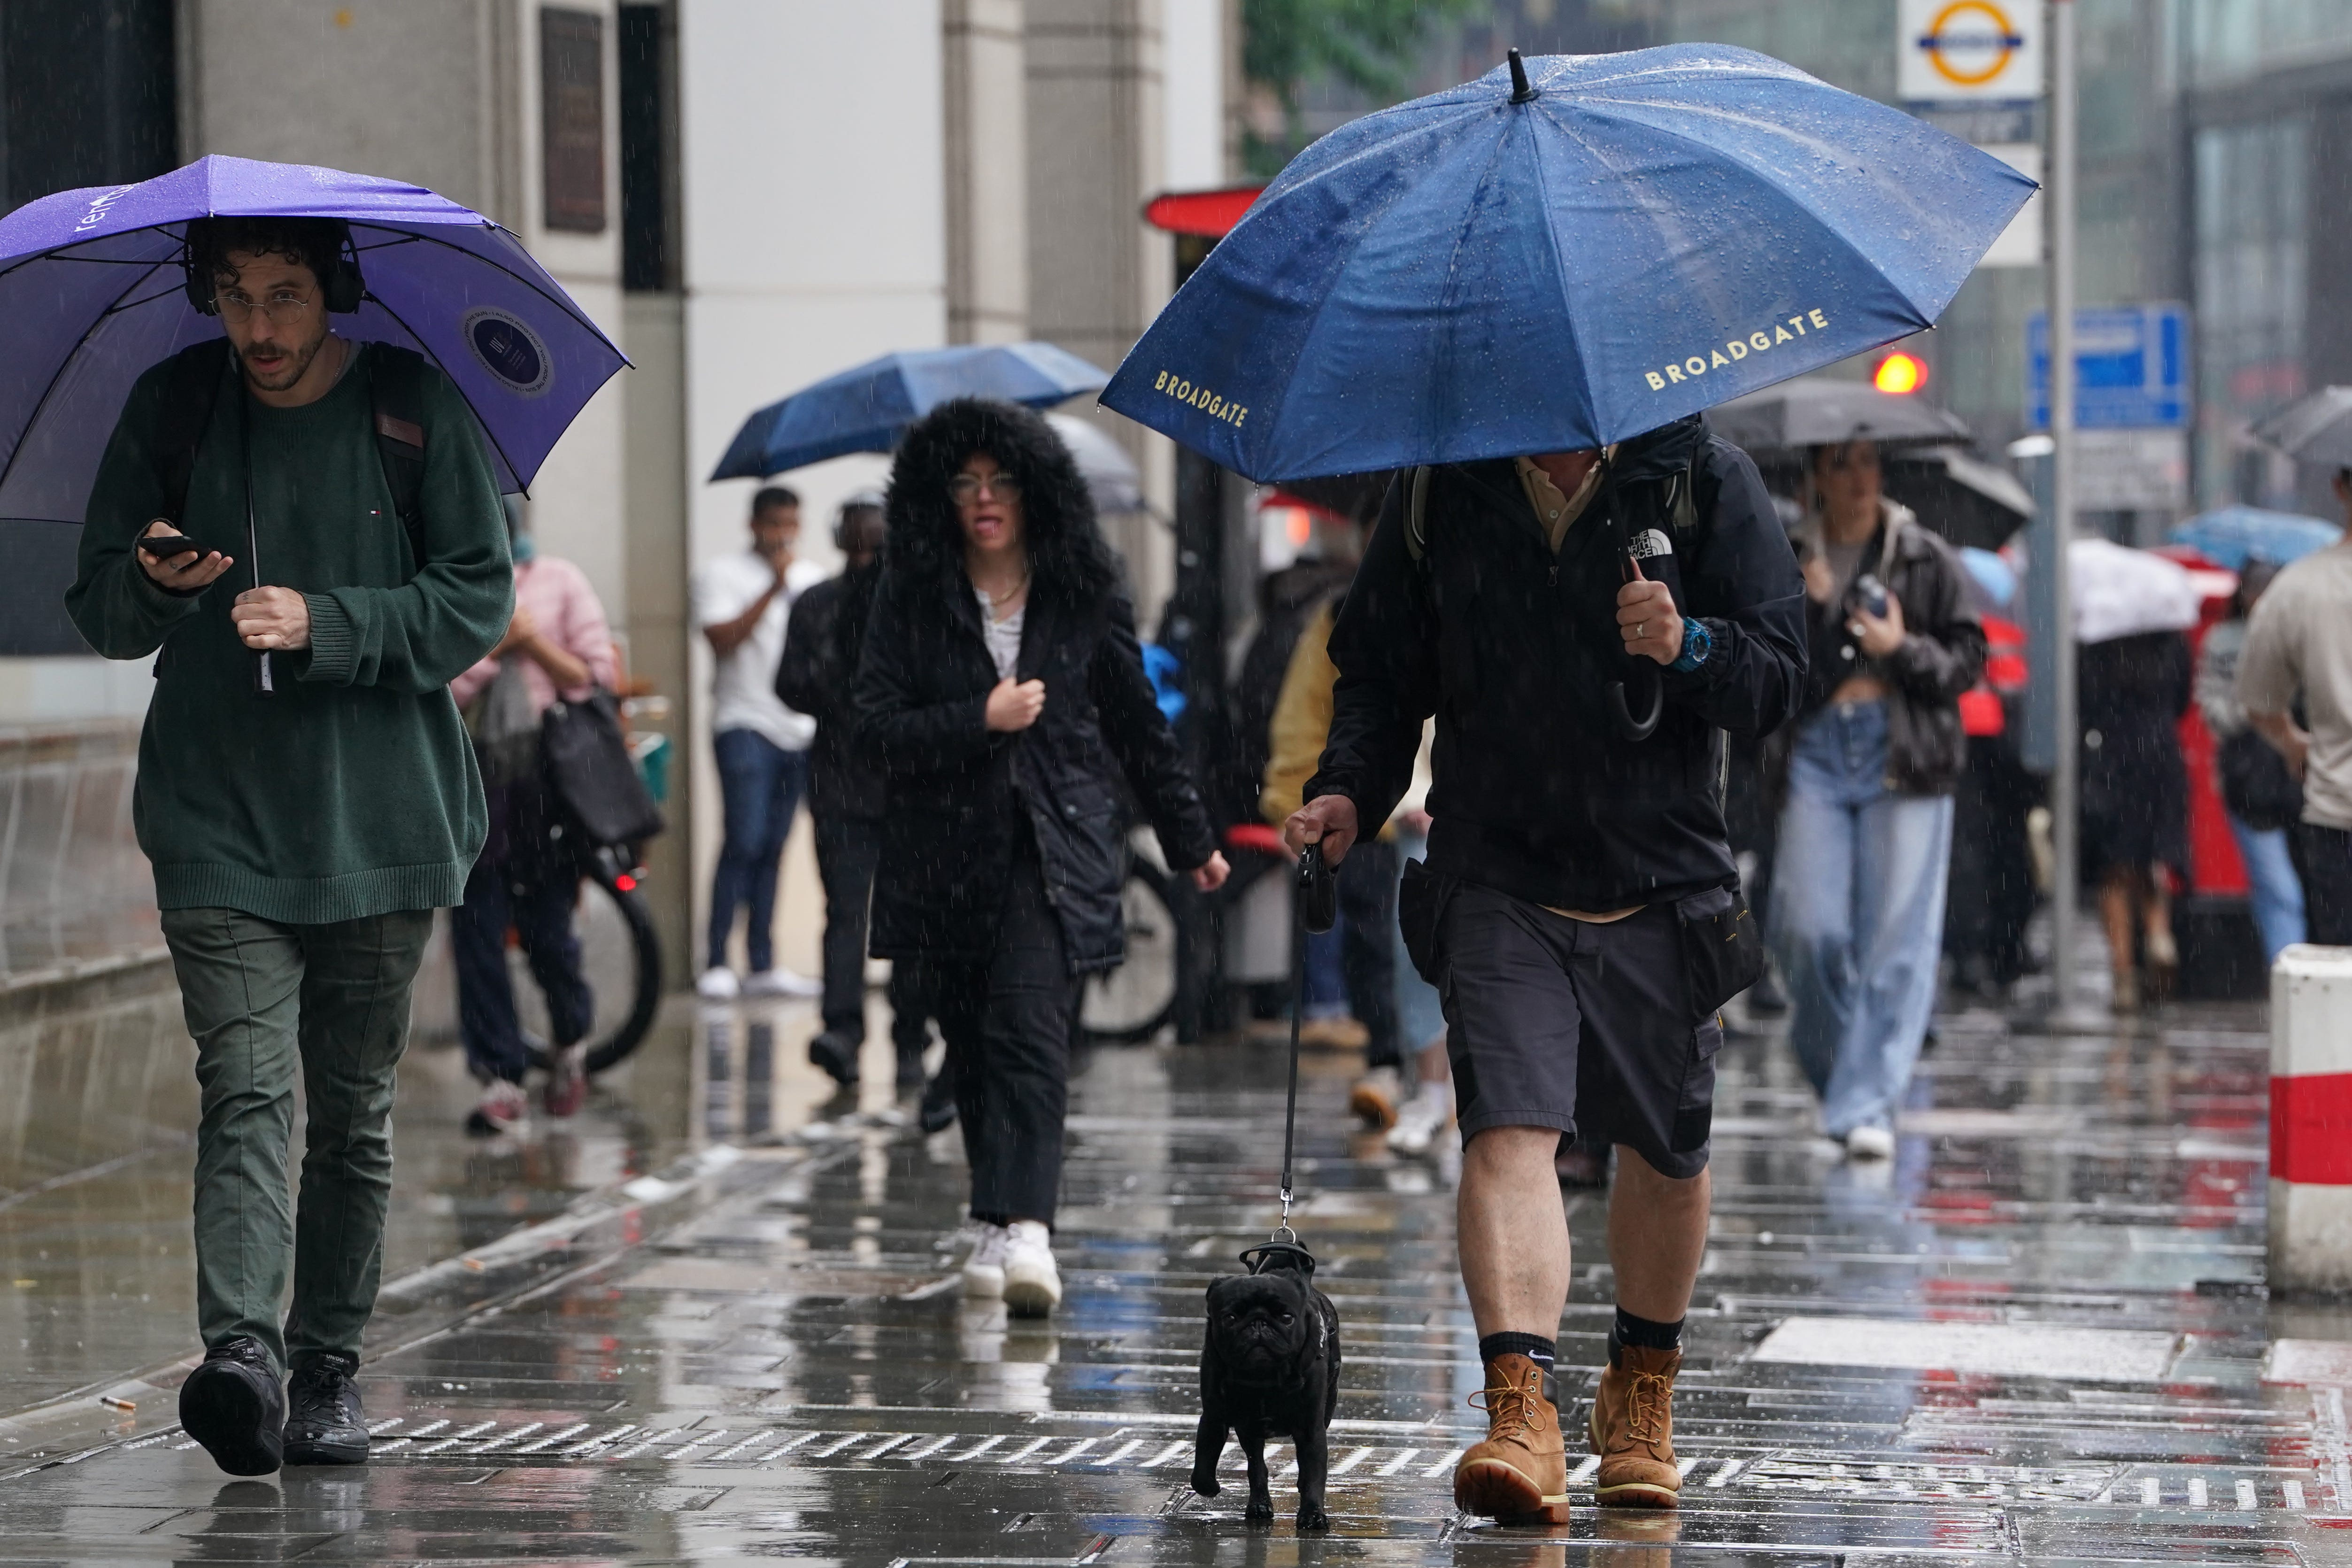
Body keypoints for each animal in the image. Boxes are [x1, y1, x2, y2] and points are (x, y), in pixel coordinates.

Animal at [1195, 1251, 1345, 1532]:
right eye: (1230, 1318)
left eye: (1287, 1318)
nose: (1258, 1325)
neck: (1264, 1375)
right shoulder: (1214, 1418)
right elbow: (1202, 1466)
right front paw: (1210, 1487)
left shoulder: (1311, 1428)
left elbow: (1314, 1474)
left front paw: (1313, 1514)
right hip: (1249, 1431)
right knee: (1257, 1467)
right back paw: (1259, 1504)